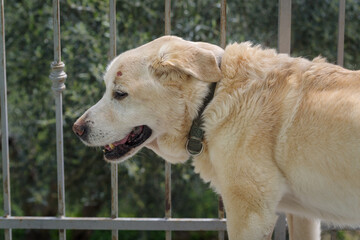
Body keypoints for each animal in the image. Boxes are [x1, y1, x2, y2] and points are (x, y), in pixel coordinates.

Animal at [72, 36, 360, 240]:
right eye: (107, 90)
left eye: (119, 94)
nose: (77, 129)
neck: (210, 100)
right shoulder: (302, 218)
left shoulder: (250, 215)